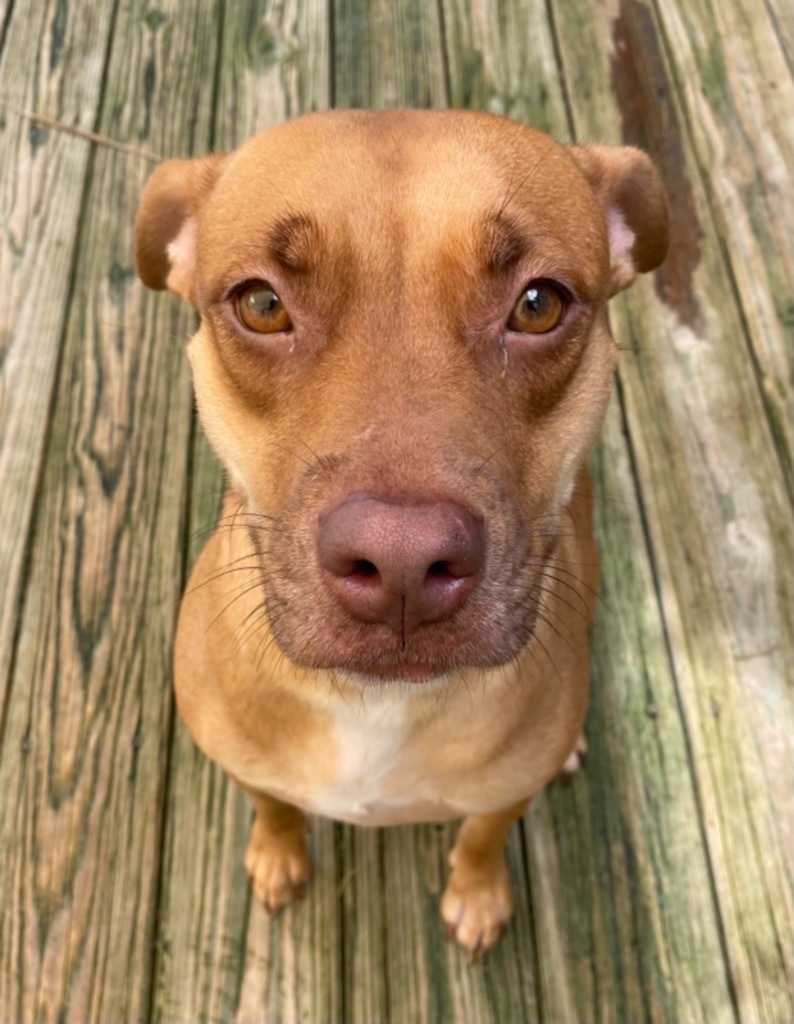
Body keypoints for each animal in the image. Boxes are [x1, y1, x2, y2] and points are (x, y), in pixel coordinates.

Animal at [135, 110, 663, 958]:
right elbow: (273, 804)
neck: (375, 705)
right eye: (262, 305)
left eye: (538, 304)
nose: (403, 559)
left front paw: (476, 896)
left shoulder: (501, 795)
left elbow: (482, 836)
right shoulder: (245, 762)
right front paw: (276, 854)